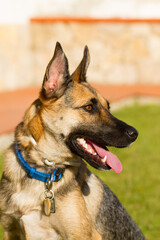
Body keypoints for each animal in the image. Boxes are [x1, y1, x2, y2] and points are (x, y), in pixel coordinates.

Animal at [0, 42, 145, 239]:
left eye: (108, 107)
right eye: (89, 107)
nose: (135, 134)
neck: (44, 171)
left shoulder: (81, 234)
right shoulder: (11, 229)